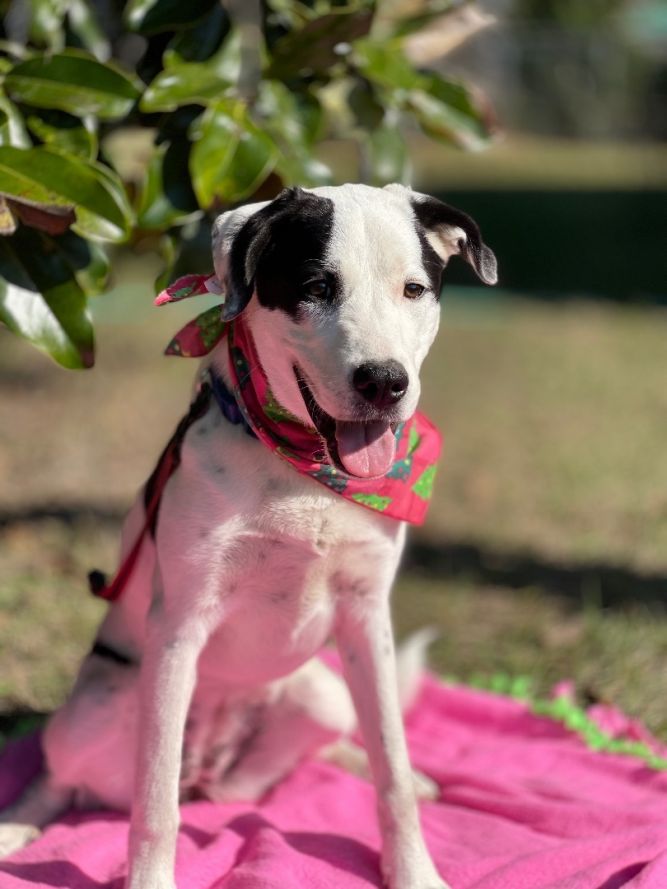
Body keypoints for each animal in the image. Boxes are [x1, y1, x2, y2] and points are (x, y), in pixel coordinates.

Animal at [0, 182, 496, 888]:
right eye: (315, 286)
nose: (385, 381)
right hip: (96, 708)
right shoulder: (178, 629)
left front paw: (414, 872)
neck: (305, 473)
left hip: (321, 694)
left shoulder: (366, 617)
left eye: (413, 289)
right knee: (64, 778)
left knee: (290, 767)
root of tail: (210, 765)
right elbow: (154, 805)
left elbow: (392, 767)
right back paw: (19, 823)